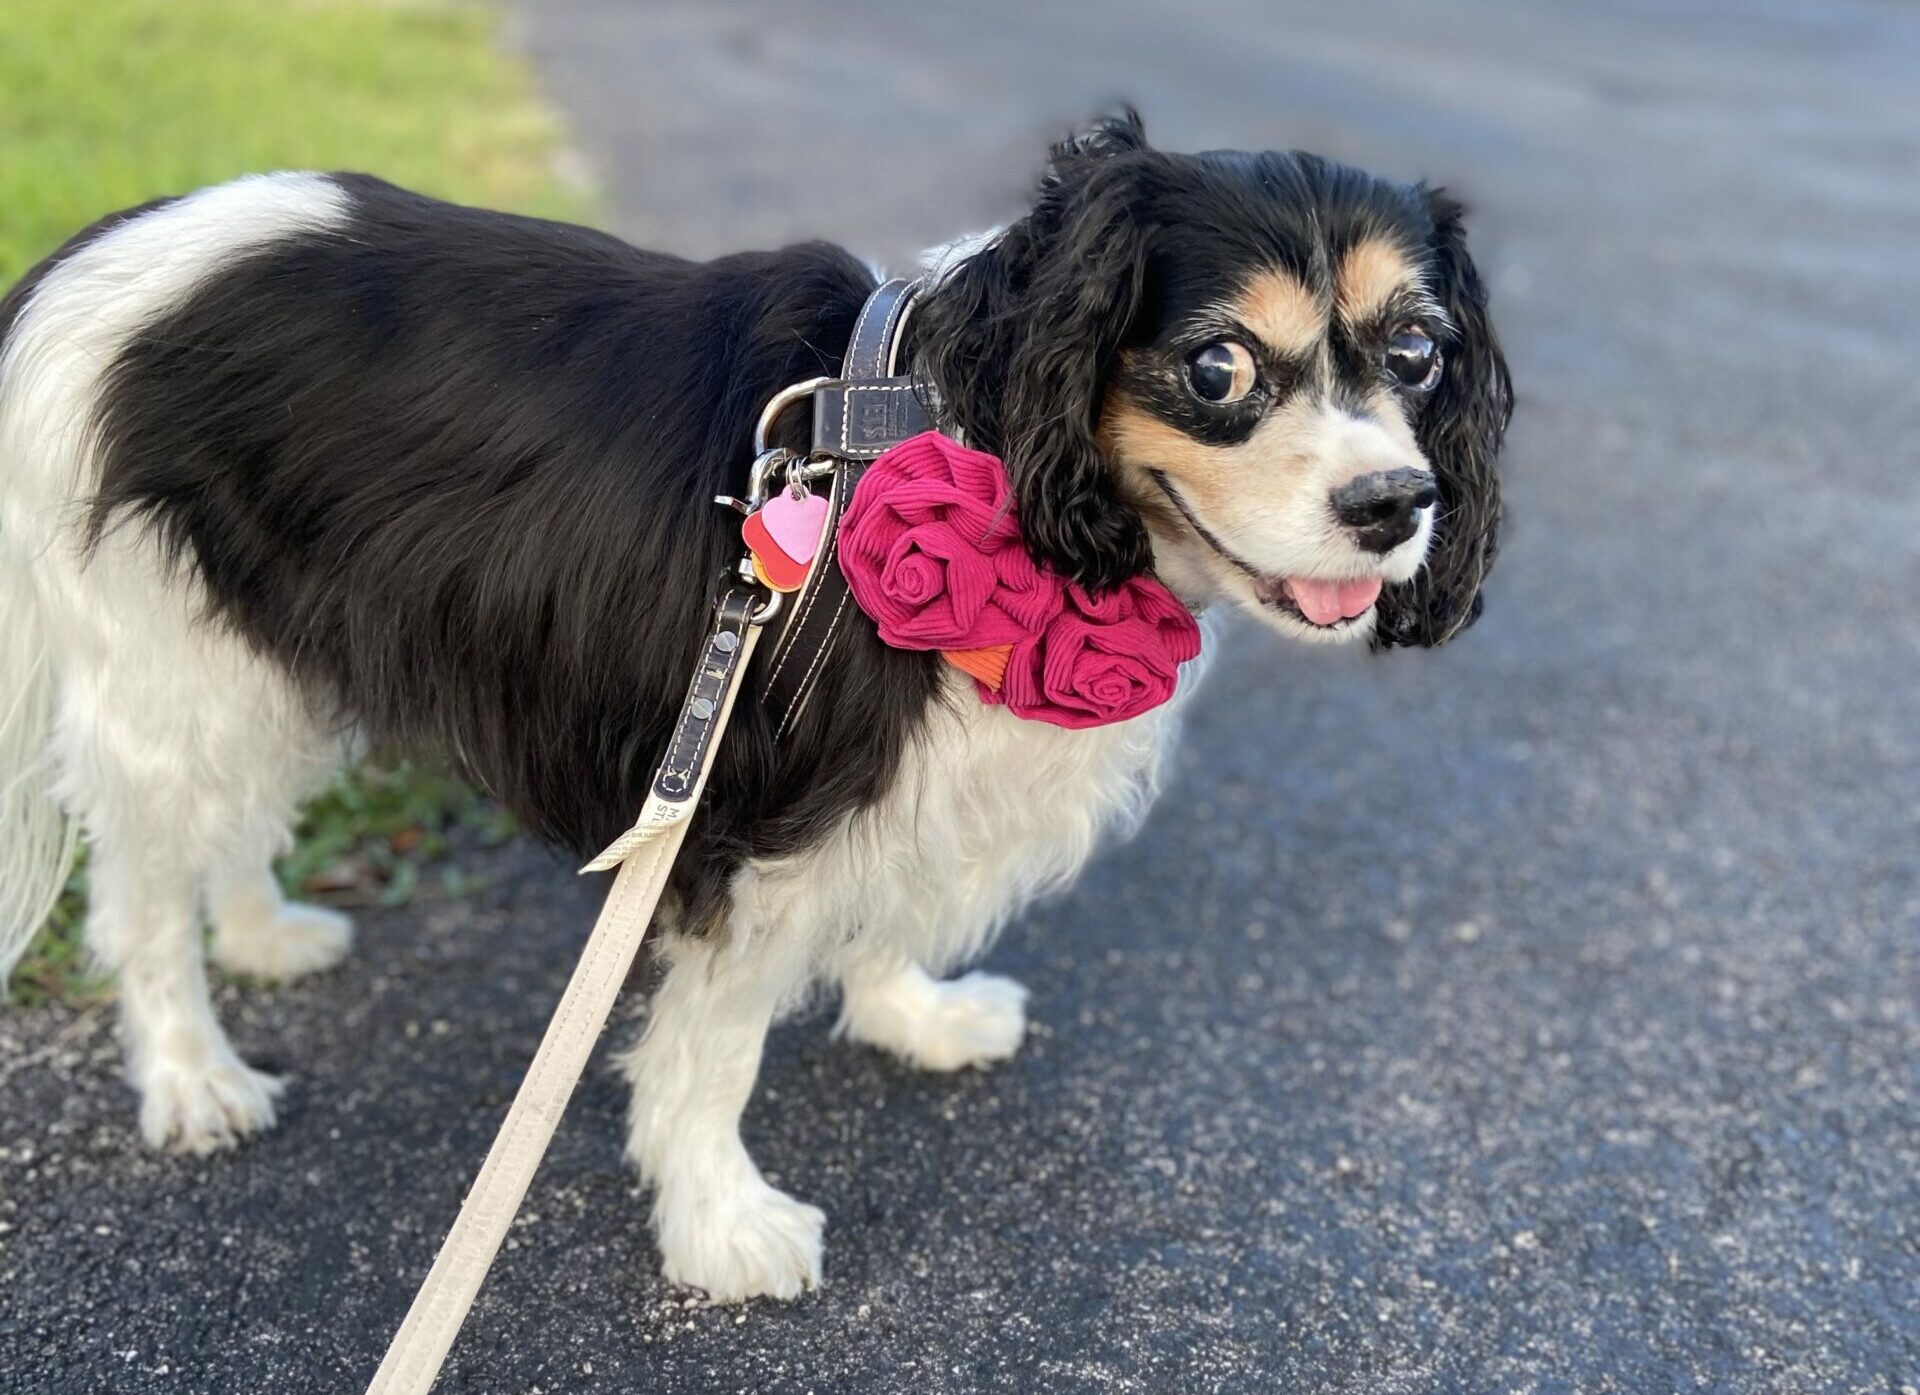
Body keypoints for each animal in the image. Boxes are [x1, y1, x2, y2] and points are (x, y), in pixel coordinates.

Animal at [0, 114, 1497, 1304]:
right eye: (1217, 369)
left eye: (1420, 353)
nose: (1393, 503)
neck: (951, 425)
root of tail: (75, 263)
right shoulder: (740, 812)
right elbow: (712, 1052)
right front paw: (722, 1225)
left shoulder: (890, 789)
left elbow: (893, 905)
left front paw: (911, 1013)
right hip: (173, 666)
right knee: (139, 892)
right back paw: (192, 1074)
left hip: (272, 640)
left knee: (229, 825)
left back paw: (261, 935)